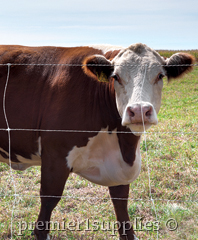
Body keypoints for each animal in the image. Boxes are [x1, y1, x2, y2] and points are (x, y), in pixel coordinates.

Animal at [0, 43, 195, 240]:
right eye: (116, 77)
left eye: (160, 75)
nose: (139, 111)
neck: (124, 145)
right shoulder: (55, 156)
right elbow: (48, 202)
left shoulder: (120, 167)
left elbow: (121, 204)